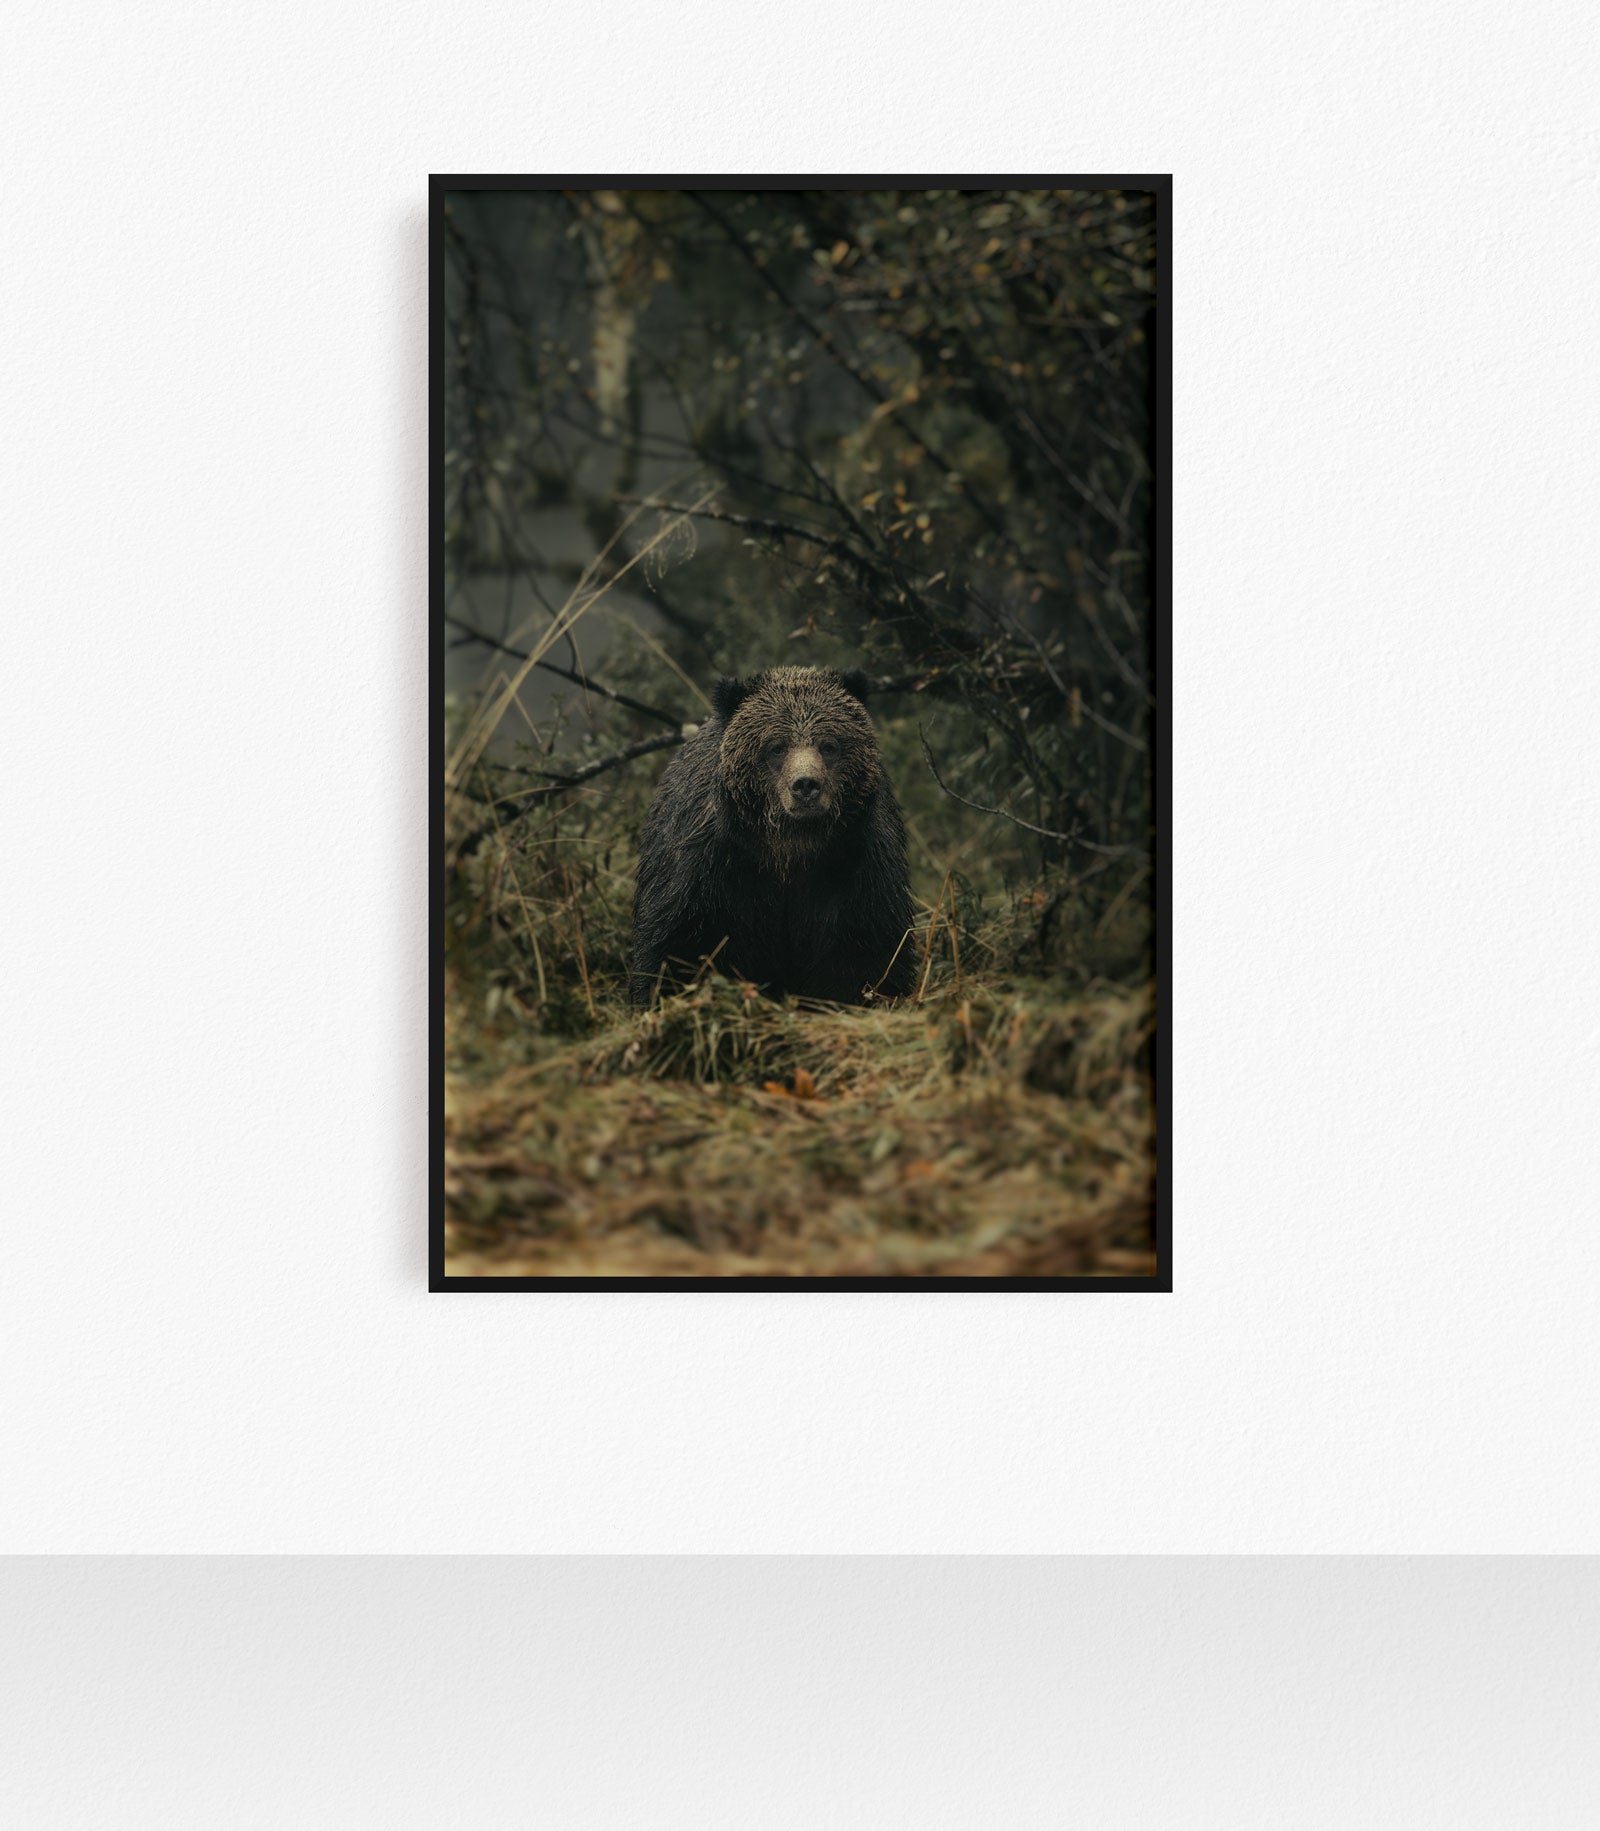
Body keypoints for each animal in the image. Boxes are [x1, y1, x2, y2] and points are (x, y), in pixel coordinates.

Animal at [629, 665, 915, 1007]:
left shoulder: (856, 865)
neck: (790, 850)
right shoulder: (710, 867)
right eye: (776, 747)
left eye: (828, 745)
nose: (805, 785)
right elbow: (677, 945)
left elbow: (871, 951)